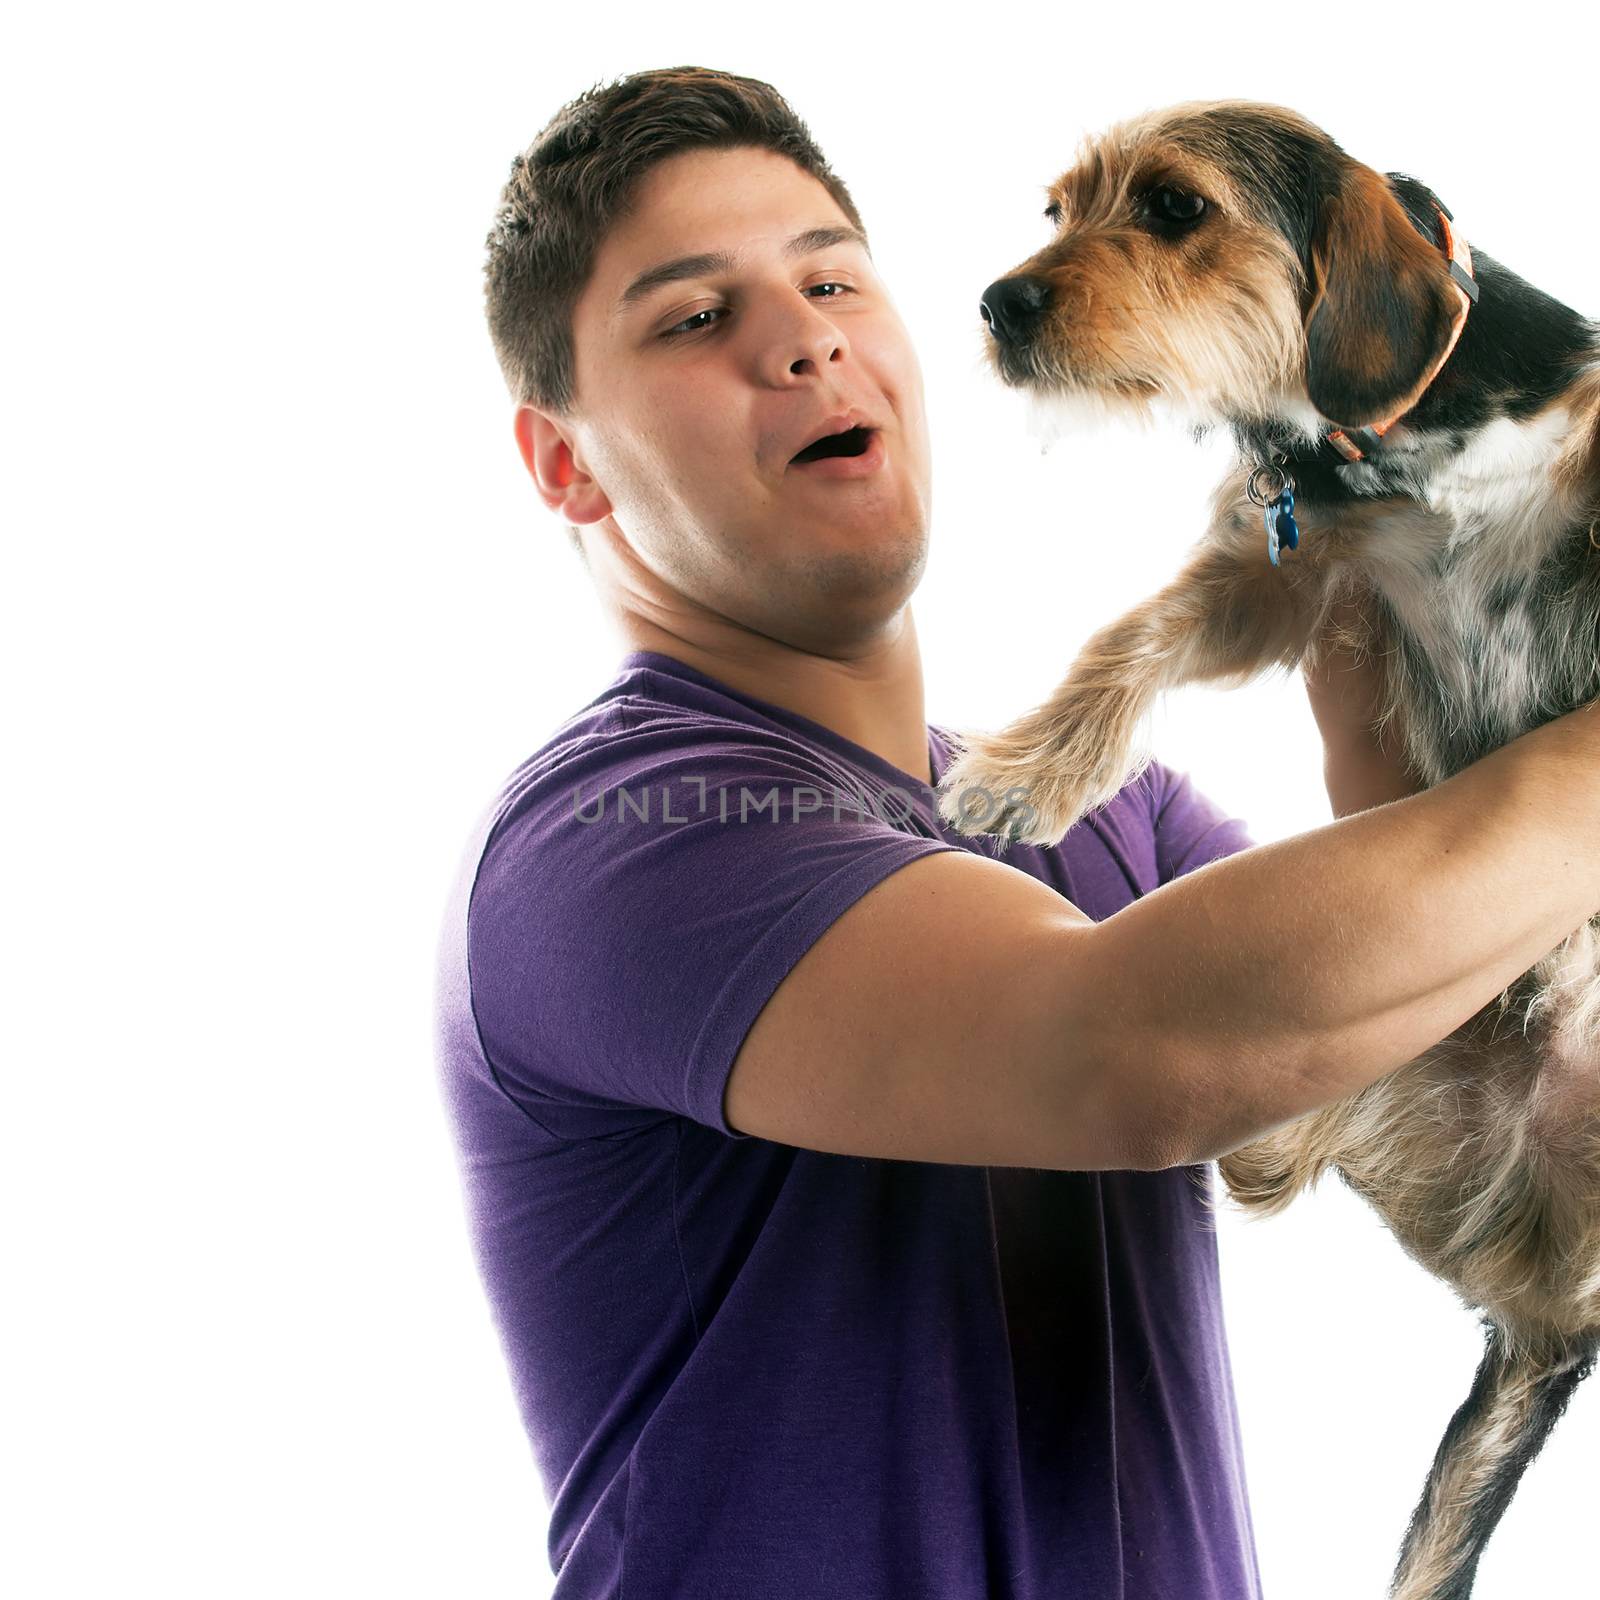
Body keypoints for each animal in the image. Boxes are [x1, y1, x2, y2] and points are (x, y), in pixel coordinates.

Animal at [934, 100, 1600, 1600]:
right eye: (1056, 209)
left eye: (1177, 208)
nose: (997, 305)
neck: (1395, 452)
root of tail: (1550, 1301)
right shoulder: (1281, 575)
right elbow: (1134, 635)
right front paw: (1028, 774)